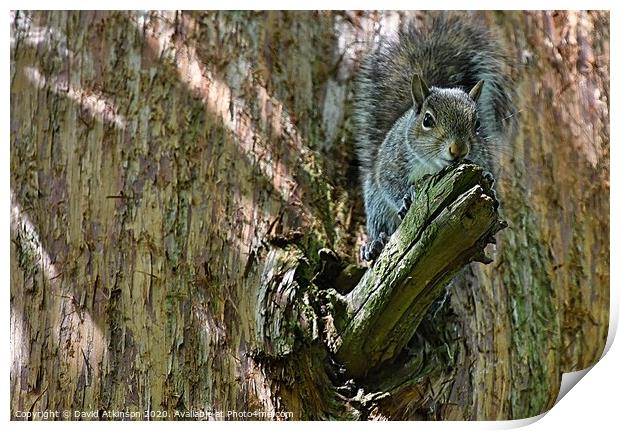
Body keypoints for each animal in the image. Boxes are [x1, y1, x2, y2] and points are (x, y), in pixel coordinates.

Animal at [354, 13, 512, 262]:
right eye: (427, 120)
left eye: (477, 124)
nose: (458, 149)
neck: (433, 167)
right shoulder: (392, 162)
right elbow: (390, 184)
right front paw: (406, 198)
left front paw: (490, 182)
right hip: (376, 204)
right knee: (380, 222)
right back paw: (375, 244)